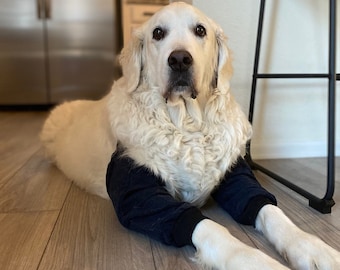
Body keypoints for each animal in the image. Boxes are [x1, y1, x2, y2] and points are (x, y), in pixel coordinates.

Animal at [41, 2, 340, 270]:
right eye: (157, 33)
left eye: (200, 30)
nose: (180, 59)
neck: (188, 124)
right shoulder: (137, 194)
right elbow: (211, 227)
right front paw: (257, 262)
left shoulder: (235, 174)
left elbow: (271, 211)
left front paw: (312, 248)